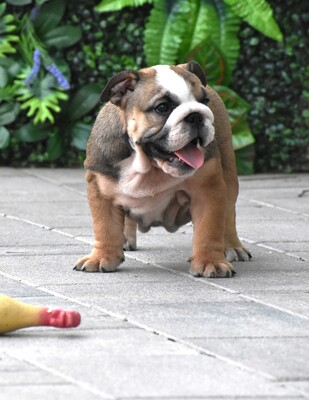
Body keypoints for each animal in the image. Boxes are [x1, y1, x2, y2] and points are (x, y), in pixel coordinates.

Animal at [74, 61, 250, 276]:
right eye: (162, 107)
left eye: (204, 101)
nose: (196, 115)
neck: (150, 166)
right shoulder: (100, 190)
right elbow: (105, 227)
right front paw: (102, 256)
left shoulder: (208, 190)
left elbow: (209, 229)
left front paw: (211, 262)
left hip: (229, 175)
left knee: (228, 213)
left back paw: (232, 246)